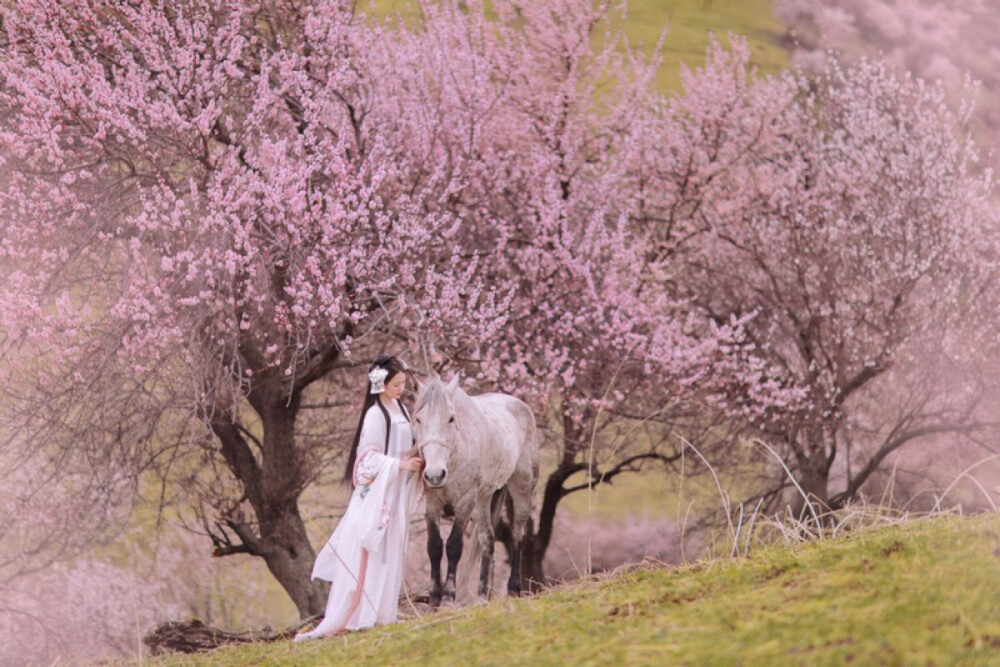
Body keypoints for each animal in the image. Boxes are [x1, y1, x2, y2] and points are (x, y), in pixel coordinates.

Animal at [412, 376, 540, 604]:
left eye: (451, 419)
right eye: (418, 419)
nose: (435, 474)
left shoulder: (465, 502)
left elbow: (454, 546)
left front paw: (448, 597)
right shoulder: (432, 502)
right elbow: (434, 546)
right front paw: (434, 598)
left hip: (522, 488)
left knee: (517, 535)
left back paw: (513, 589)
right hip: (483, 500)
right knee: (487, 539)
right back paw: (482, 596)